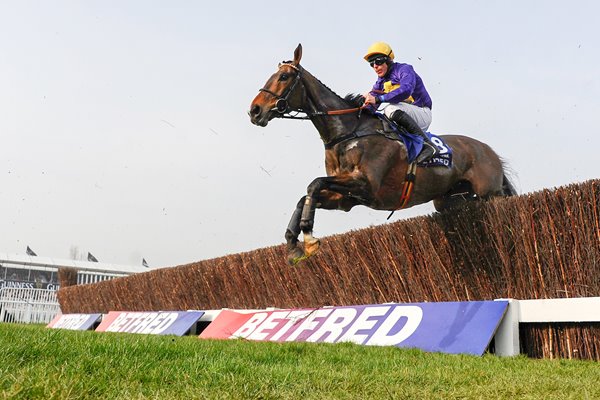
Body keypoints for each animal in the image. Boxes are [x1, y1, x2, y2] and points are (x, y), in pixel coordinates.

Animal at [248, 43, 516, 264]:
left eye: (283, 77)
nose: (254, 110)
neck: (348, 133)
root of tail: (489, 151)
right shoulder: (346, 198)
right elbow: (306, 196)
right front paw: (294, 245)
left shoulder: (366, 185)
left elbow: (313, 184)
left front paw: (309, 238)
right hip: (447, 200)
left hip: (490, 194)